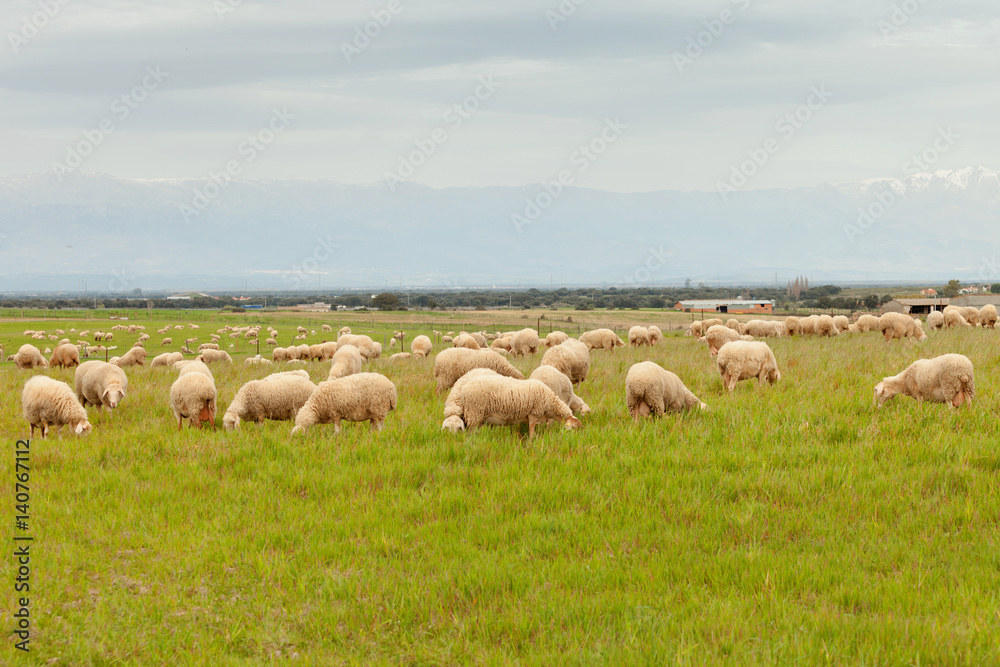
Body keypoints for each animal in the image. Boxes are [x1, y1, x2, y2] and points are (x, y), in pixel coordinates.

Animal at [446, 376, 580, 438]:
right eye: (574, 428)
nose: (574, 440)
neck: (550, 403)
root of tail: (463, 389)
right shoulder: (534, 413)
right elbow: (531, 432)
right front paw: (532, 441)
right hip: (475, 413)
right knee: (471, 433)